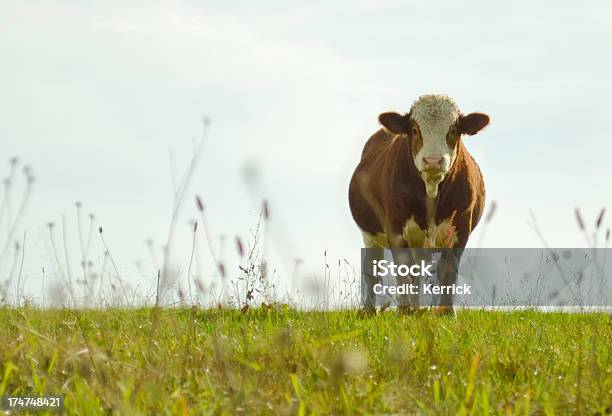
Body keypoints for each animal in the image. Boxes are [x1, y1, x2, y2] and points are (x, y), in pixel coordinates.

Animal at [346, 94, 490, 316]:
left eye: (454, 129)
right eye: (414, 129)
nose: (433, 160)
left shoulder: (461, 226)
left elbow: (447, 269)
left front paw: (446, 312)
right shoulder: (395, 227)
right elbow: (402, 268)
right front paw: (403, 311)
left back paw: (416, 308)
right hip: (370, 234)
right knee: (372, 268)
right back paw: (370, 311)